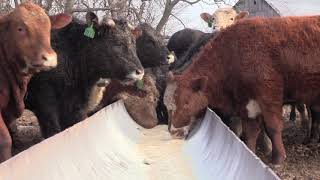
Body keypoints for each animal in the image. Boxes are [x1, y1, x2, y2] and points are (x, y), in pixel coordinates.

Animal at [164, 15, 320, 165]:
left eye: (186, 103)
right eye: (166, 106)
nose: (174, 132)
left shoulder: (269, 96)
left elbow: (272, 127)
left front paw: (277, 158)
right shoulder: (247, 102)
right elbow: (250, 131)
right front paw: (250, 153)